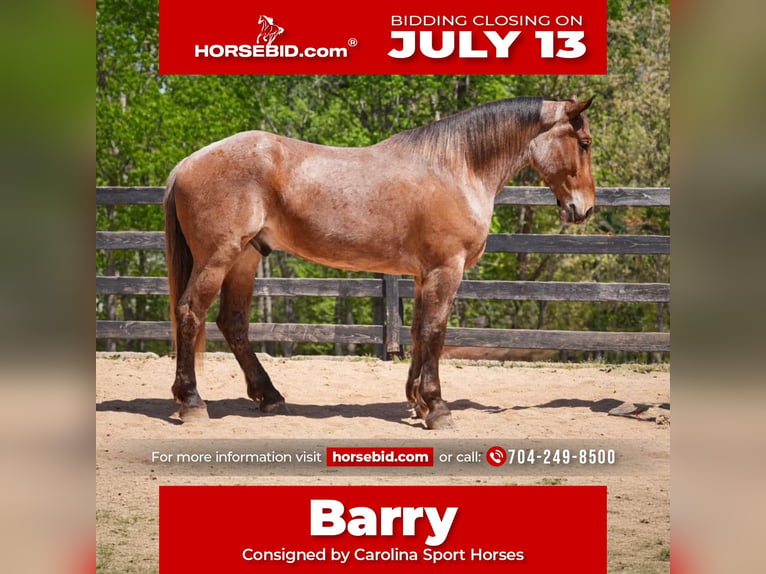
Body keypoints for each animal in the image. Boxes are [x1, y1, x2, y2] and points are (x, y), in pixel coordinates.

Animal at [163, 96, 596, 429]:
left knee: (232, 323)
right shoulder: (445, 270)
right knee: (189, 313)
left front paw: (416, 401)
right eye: (585, 142)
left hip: (246, 258)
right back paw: (192, 402)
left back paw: (269, 396)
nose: (585, 208)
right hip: (217, 258)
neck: (456, 168)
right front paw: (437, 408)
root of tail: (186, 163)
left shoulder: (423, 275)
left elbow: (419, 332)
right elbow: (436, 333)